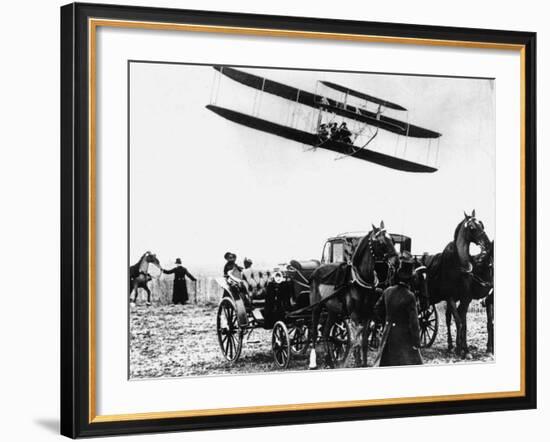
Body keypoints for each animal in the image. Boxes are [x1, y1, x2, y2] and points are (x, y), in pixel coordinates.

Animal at [308, 221, 398, 370]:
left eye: (392, 239)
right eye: (380, 242)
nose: (397, 261)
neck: (360, 280)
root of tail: (317, 270)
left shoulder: (367, 315)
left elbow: (364, 342)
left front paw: (364, 363)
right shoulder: (354, 316)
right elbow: (356, 341)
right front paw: (357, 363)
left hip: (333, 311)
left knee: (326, 333)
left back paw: (330, 362)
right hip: (316, 308)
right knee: (314, 333)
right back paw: (313, 363)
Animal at [422, 211, 492, 360]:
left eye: (481, 223)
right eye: (472, 227)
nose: (488, 244)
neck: (459, 266)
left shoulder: (465, 298)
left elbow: (463, 323)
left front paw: (464, 349)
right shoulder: (450, 297)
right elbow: (459, 322)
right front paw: (461, 349)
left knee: (447, 318)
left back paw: (450, 346)